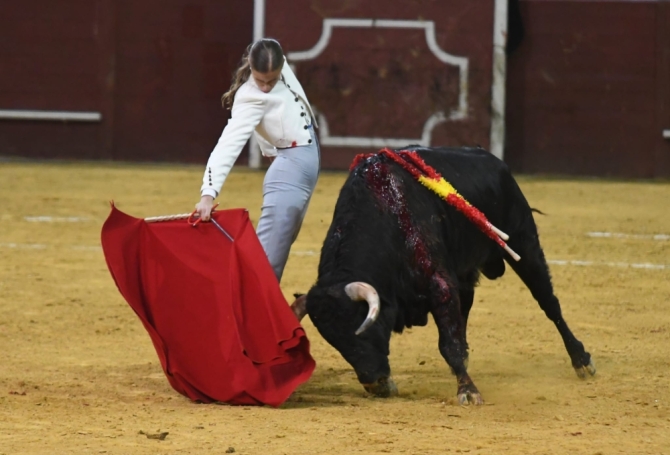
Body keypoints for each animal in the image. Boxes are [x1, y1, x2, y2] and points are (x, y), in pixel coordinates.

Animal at [302, 147, 596, 406]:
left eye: (364, 327)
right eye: (335, 341)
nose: (375, 385)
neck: (383, 211)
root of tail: (496, 162)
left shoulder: (440, 284)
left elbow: (448, 343)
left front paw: (468, 391)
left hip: (524, 242)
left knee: (549, 303)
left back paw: (581, 360)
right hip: (467, 272)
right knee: (466, 308)